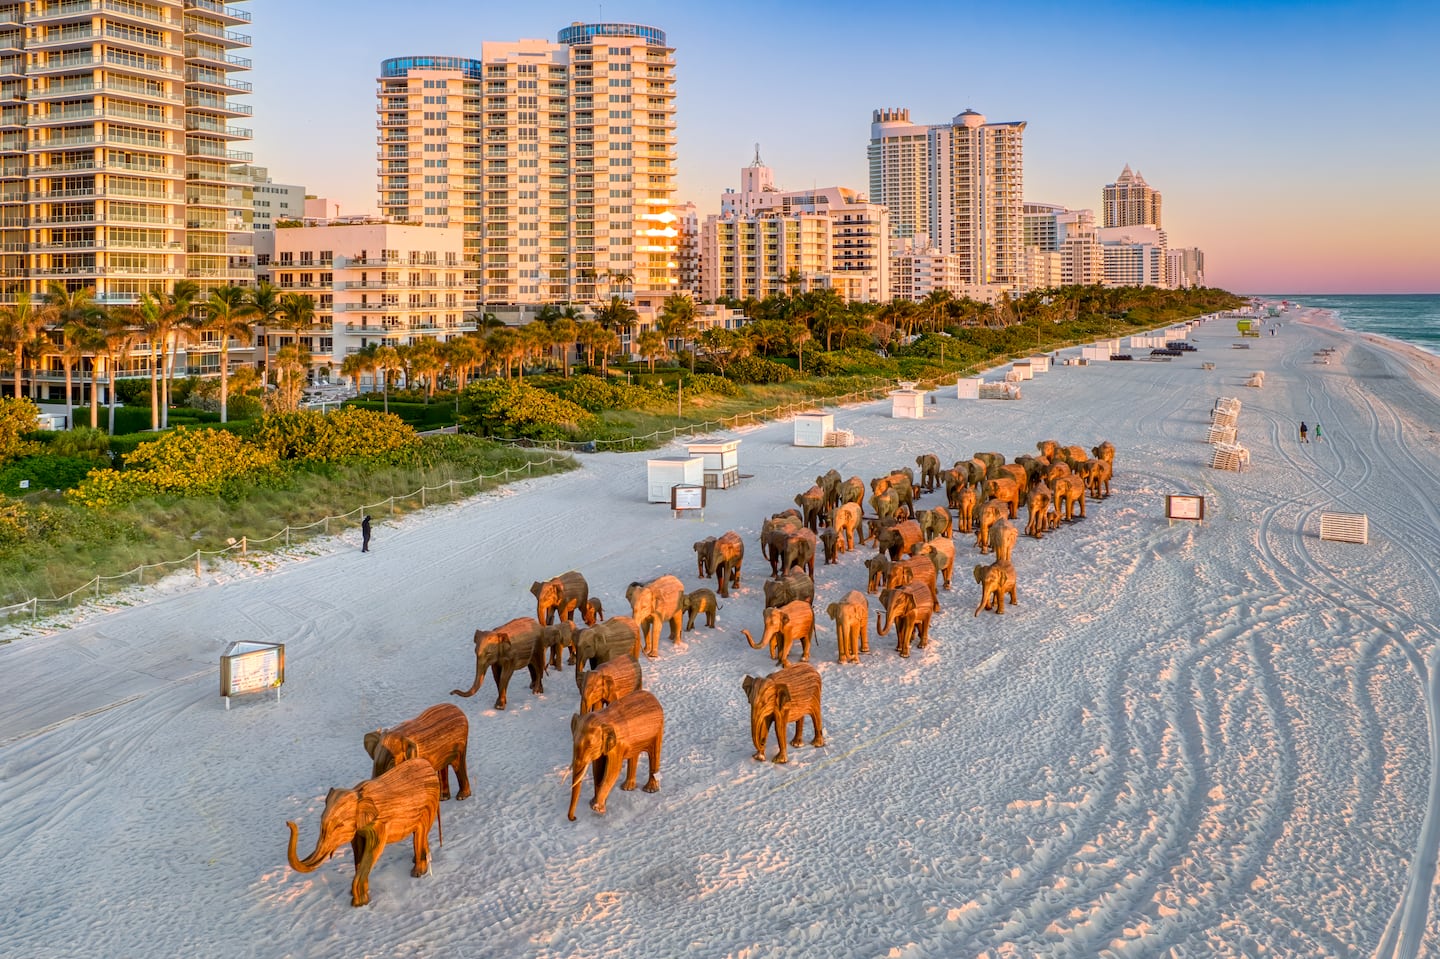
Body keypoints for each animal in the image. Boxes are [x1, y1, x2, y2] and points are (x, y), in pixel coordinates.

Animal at [286, 758, 441, 907]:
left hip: (429, 803)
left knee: (421, 831)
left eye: (340, 825)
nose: (289, 823)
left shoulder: (378, 825)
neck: (358, 794)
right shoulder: (359, 829)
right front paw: (358, 895)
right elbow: (358, 850)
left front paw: (359, 903)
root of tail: (429, 766)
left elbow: (372, 851)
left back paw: (417, 873)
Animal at [568, 690, 664, 820]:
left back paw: (650, 790)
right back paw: (627, 788)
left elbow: (612, 770)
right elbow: (598, 768)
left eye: (590, 746)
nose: (574, 818)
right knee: (634, 755)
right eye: (573, 742)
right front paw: (595, 803)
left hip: (658, 730)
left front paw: (597, 808)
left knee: (654, 753)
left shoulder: (618, 745)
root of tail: (654, 698)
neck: (602, 719)